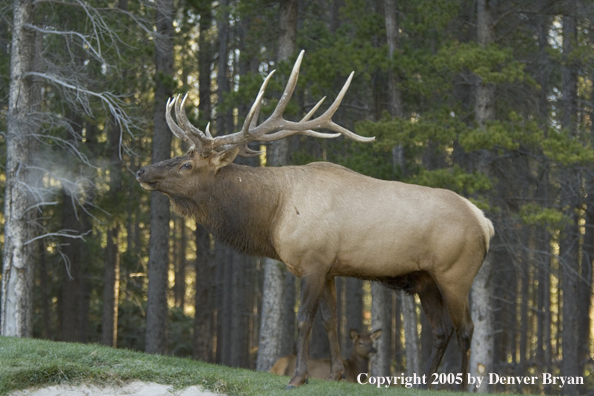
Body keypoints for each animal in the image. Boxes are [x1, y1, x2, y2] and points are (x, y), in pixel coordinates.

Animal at [136, 49, 492, 390]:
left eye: (186, 165)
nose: (142, 170)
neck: (272, 215)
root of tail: (485, 223)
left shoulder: (313, 261)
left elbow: (304, 320)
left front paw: (298, 377)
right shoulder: (330, 268)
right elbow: (330, 321)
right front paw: (335, 374)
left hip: (455, 274)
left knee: (466, 328)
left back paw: (461, 387)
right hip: (425, 280)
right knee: (442, 330)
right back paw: (425, 383)